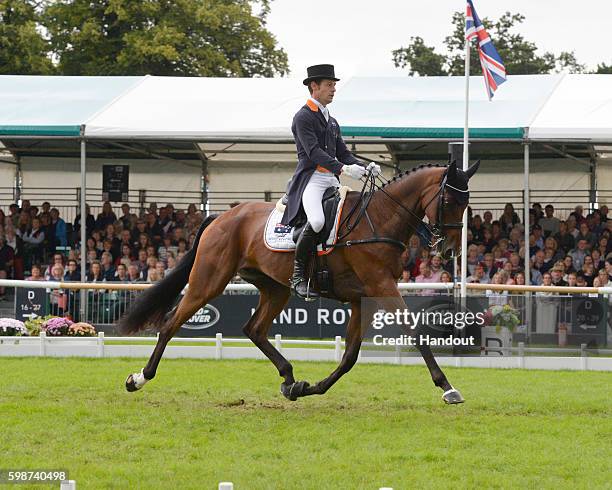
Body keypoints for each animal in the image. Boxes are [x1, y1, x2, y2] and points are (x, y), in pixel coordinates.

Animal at [117, 159, 476, 404]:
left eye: (467, 204)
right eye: (449, 201)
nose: (449, 250)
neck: (380, 218)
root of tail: (220, 217)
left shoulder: (364, 298)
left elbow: (349, 357)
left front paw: (310, 388)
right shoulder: (381, 287)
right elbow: (415, 333)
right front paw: (448, 387)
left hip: (275, 288)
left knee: (254, 329)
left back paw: (290, 379)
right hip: (210, 281)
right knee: (170, 323)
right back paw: (139, 378)